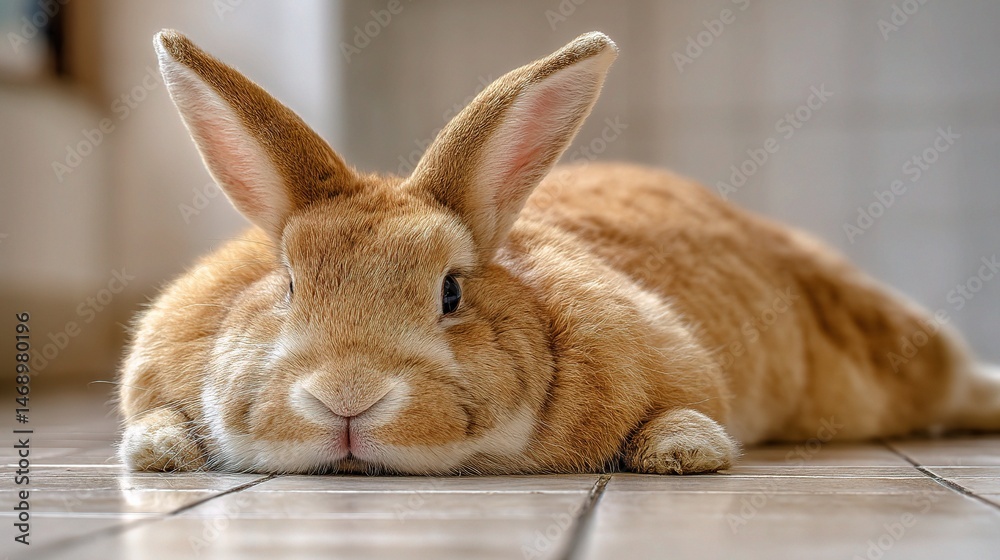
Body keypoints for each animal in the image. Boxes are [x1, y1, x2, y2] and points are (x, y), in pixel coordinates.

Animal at [118, 29, 1000, 475]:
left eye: (450, 292)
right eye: (288, 284)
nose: (348, 397)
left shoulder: (676, 363)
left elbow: (685, 404)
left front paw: (684, 451)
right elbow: (156, 417)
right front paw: (156, 452)